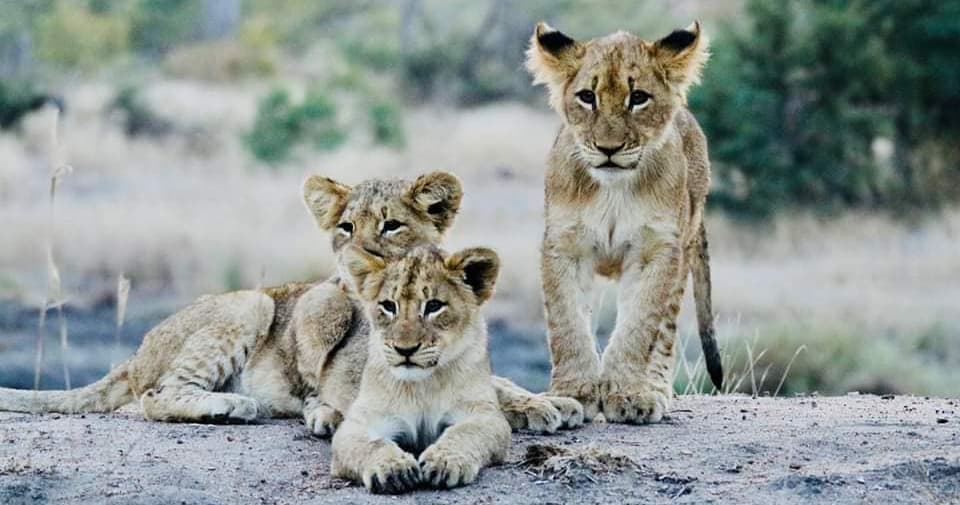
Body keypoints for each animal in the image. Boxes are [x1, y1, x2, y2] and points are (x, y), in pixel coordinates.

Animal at [0, 172, 582, 434]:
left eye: (391, 226)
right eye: (344, 227)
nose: (355, 254)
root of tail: (137, 352)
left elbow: (497, 380)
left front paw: (549, 402)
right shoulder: (334, 319)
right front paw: (538, 409)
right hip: (251, 306)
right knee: (156, 396)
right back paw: (235, 406)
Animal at [330, 244, 511, 493]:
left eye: (434, 306)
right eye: (388, 306)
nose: (405, 349)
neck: (423, 384)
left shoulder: (486, 414)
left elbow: (464, 432)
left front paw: (444, 462)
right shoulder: (359, 422)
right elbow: (371, 443)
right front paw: (393, 467)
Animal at [526, 21, 724, 424]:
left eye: (639, 98)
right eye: (587, 97)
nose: (608, 149)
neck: (613, 190)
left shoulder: (657, 251)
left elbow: (638, 326)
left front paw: (628, 395)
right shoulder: (564, 246)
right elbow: (567, 324)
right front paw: (575, 393)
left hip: (683, 250)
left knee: (665, 331)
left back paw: (656, 388)